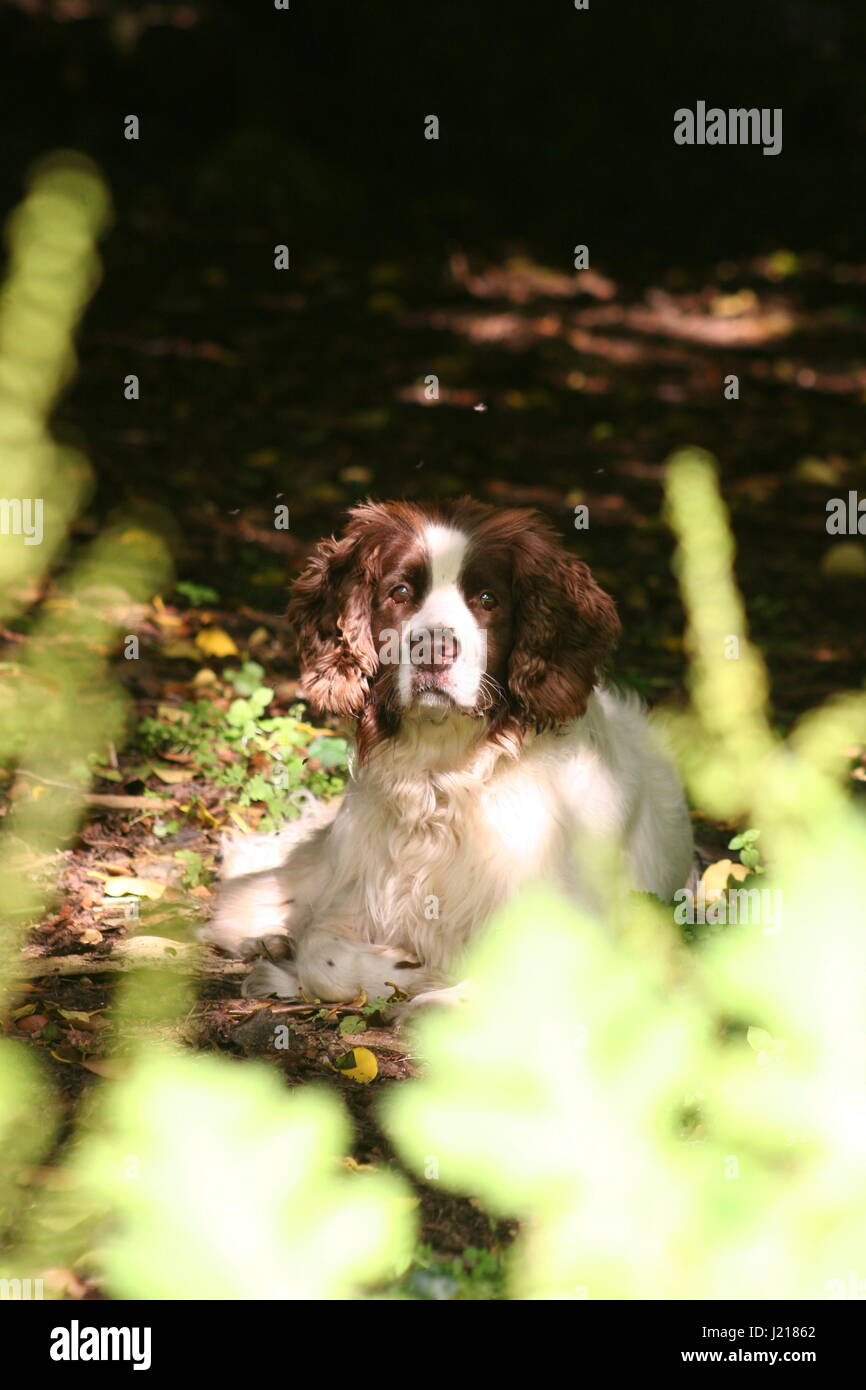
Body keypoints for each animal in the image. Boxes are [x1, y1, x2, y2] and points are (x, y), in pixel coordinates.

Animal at [200, 500, 695, 1011]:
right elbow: (322, 956)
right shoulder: (354, 898)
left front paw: (441, 997)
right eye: (399, 592)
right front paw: (408, 970)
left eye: (488, 598)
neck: (441, 777)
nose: (432, 648)